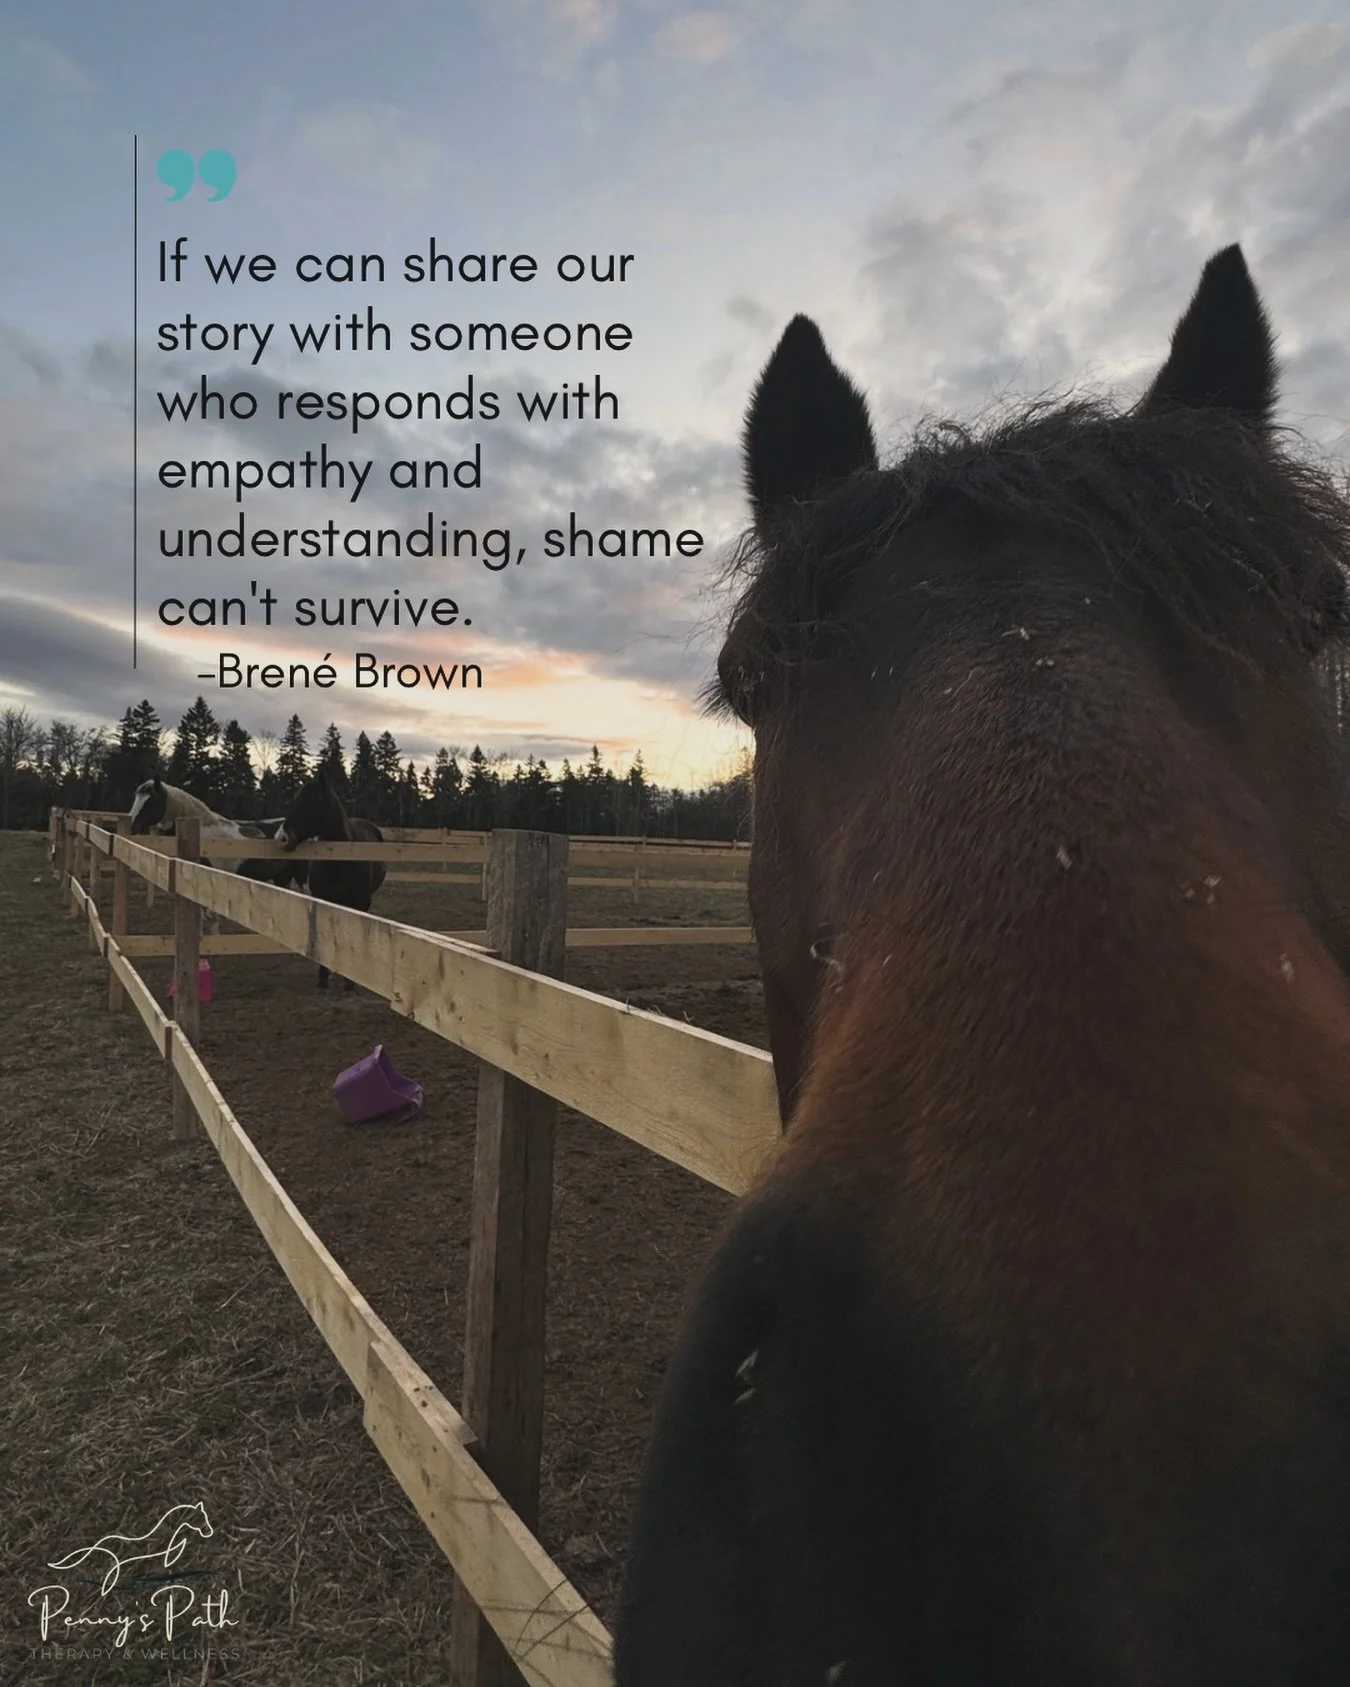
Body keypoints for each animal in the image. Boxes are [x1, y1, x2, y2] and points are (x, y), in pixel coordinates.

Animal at [278, 770, 386, 990]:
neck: (342, 858)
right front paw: (322, 979)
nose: (283, 838)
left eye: (312, 800)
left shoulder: (359, 902)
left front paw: (350, 983)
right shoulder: (323, 898)